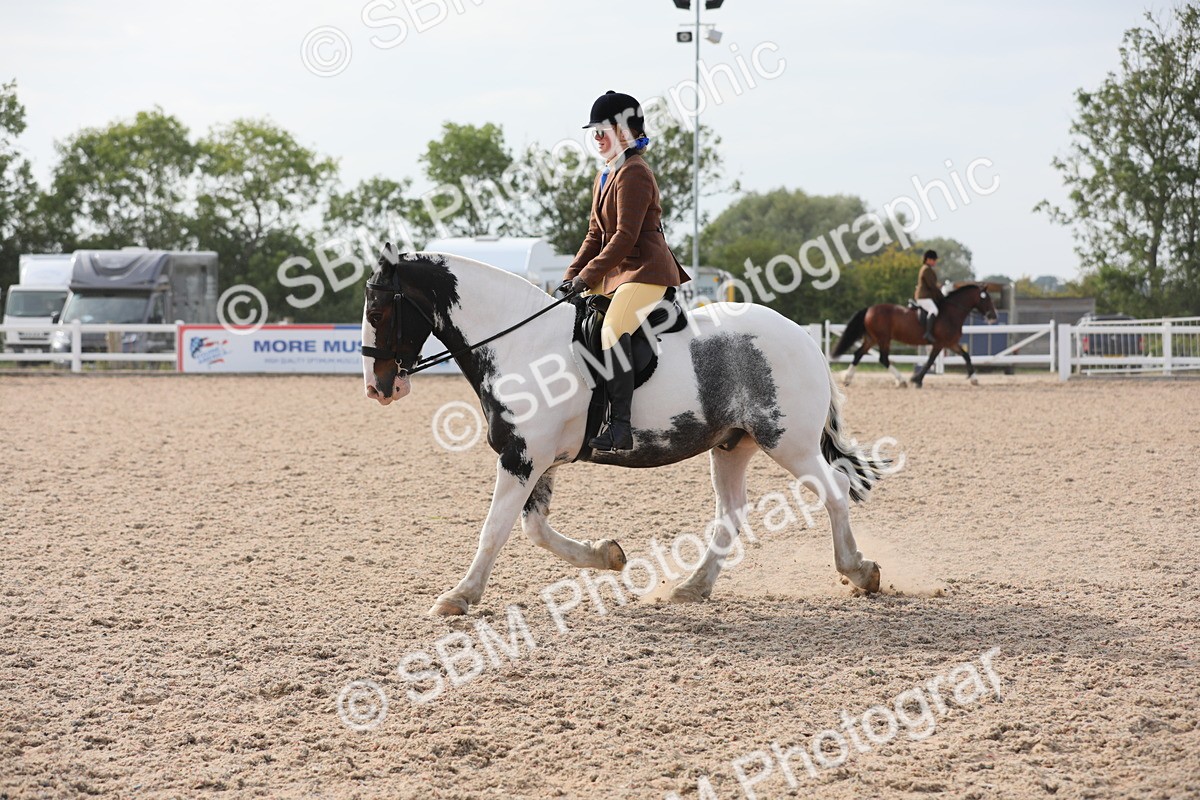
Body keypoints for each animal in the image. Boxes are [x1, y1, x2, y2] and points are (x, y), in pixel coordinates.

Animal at [361, 244, 891, 616]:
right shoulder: (534, 458)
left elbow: (494, 530)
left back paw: (860, 571)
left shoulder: (521, 458)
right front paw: (609, 556)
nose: (378, 387)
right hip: (732, 446)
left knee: (834, 492)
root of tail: (803, 336)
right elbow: (534, 529)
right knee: (732, 512)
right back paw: (692, 587)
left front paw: (459, 596)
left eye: (379, 311)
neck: (519, 343)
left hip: (789, 443)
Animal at [832, 284, 999, 388]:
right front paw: (916, 379)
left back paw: (847, 378)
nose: (993, 316)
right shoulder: (940, 344)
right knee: (883, 358)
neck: (952, 313)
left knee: (858, 354)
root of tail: (869, 309)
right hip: (883, 338)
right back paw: (902, 381)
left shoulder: (951, 343)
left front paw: (974, 379)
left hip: (872, 338)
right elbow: (930, 361)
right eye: (985, 298)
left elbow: (966, 356)